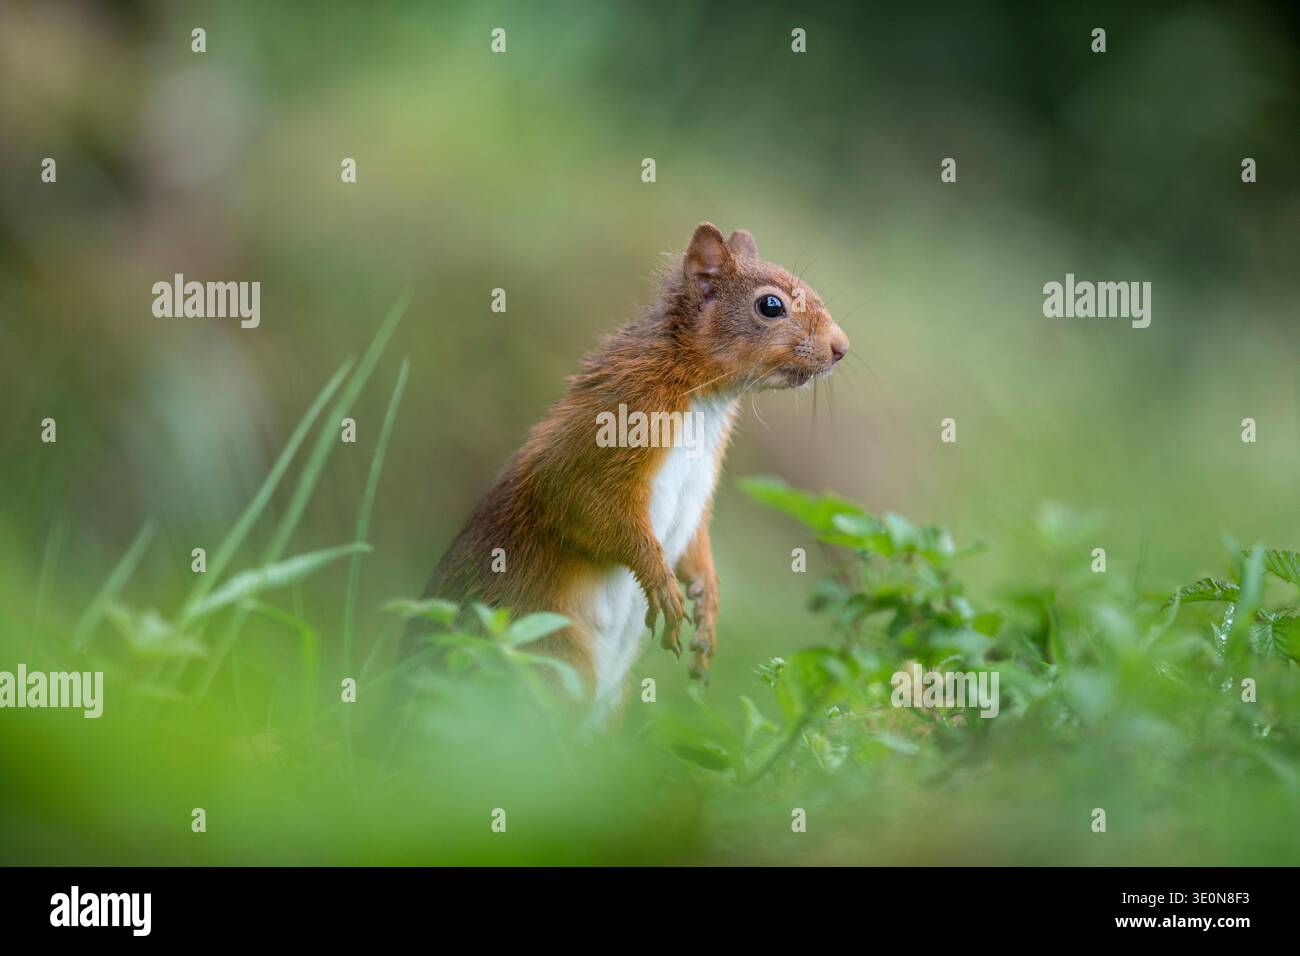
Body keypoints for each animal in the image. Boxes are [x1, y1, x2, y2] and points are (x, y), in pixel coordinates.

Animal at [408, 223, 849, 722]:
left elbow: (697, 545)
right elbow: (587, 506)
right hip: (551, 661)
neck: (704, 398)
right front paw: (660, 581)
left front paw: (709, 606)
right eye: (770, 305)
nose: (842, 348)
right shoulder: (607, 433)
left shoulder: (699, 495)